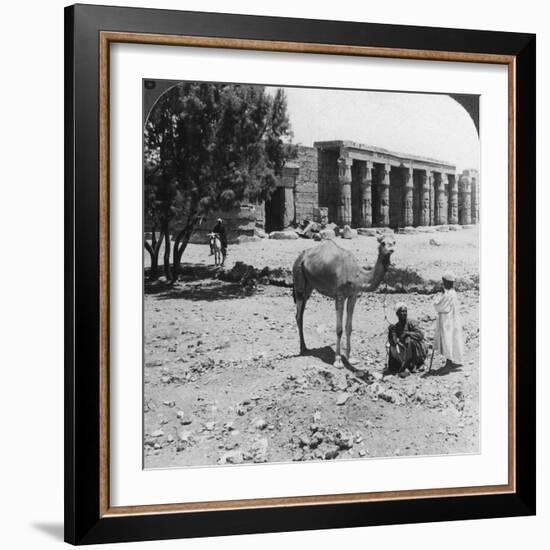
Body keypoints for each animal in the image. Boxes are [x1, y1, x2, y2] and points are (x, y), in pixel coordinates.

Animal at [294, 235, 396, 368]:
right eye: (383, 243)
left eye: (394, 242)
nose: (391, 250)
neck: (357, 276)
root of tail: (301, 256)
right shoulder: (340, 295)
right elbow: (339, 329)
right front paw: (337, 360)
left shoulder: (353, 295)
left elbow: (349, 327)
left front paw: (350, 358)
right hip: (298, 277)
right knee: (298, 314)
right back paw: (303, 348)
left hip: (309, 285)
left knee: (300, 313)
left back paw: (304, 347)